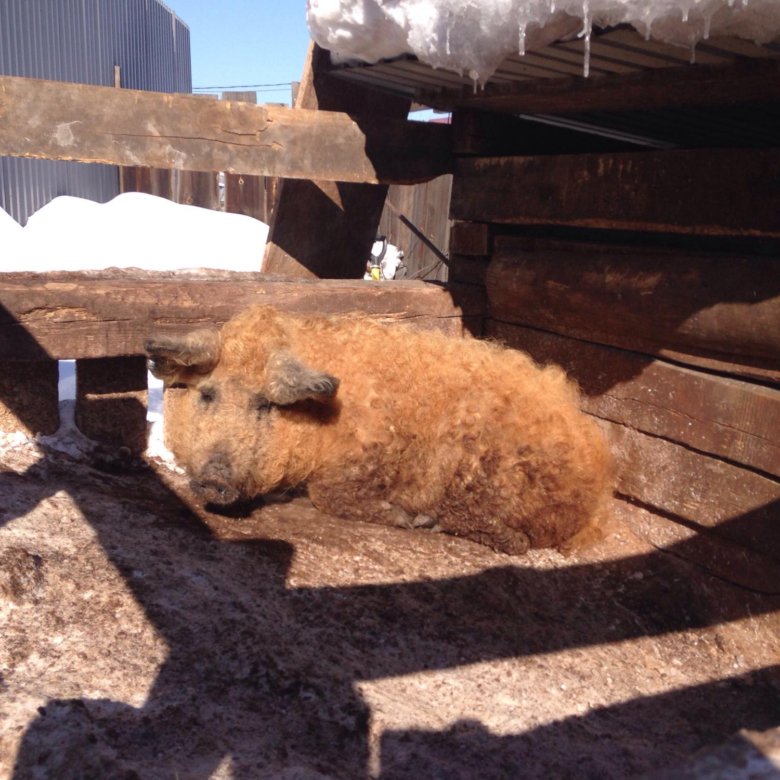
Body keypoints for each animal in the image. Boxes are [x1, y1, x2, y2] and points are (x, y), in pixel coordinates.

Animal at [143, 304, 612, 556]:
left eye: (264, 404)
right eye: (207, 394)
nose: (214, 478)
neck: (324, 428)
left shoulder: (372, 457)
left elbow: (329, 494)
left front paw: (402, 516)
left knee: (514, 540)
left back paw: (427, 521)